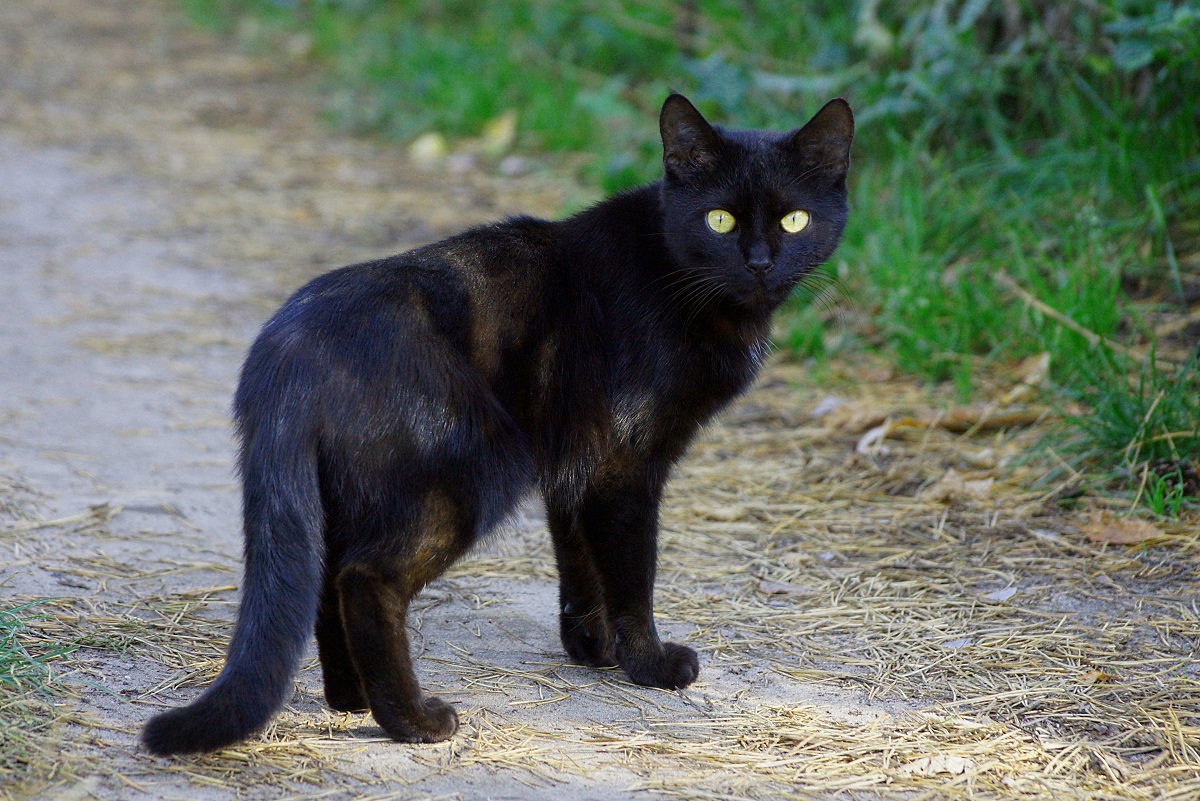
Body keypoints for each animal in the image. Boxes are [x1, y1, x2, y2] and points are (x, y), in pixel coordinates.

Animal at [140, 90, 854, 753]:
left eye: (795, 219)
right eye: (718, 218)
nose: (759, 261)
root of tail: (287, 349)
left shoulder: (577, 464)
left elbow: (579, 564)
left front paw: (591, 649)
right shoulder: (625, 466)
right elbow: (632, 574)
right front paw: (649, 664)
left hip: (352, 491)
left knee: (326, 581)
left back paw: (351, 699)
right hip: (471, 474)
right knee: (366, 580)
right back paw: (414, 721)